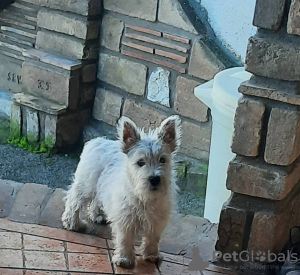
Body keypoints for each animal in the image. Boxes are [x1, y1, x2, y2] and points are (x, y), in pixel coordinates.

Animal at [61, 115, 180, 268]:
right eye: (140, 162)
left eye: (162, 160)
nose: (154, 179)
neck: (144, 197)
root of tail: (98, 141)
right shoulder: (125, 218)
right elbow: (125, 238)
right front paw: (124, 259)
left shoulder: (157, 220)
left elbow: (153, 237)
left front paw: (151, 255)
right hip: (86, 184)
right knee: (74, 201)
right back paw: (73, 224)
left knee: (96, 200)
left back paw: (98, 215)